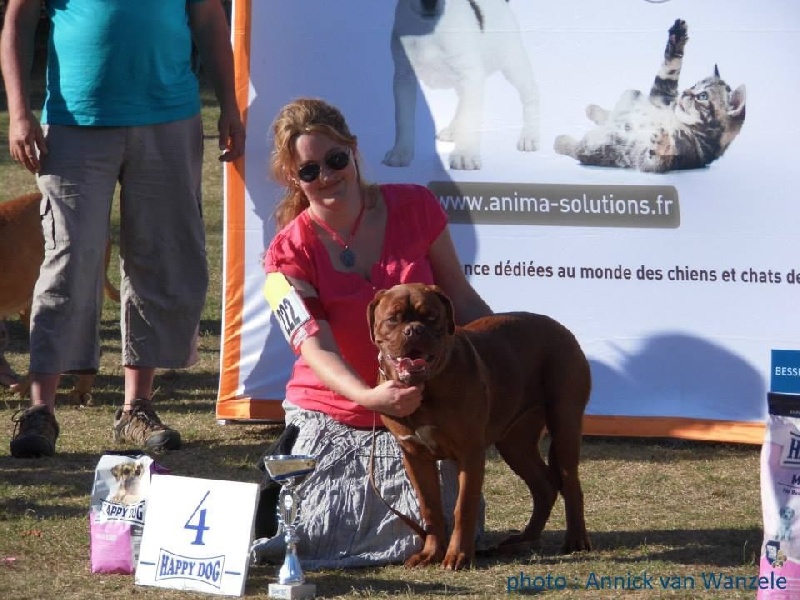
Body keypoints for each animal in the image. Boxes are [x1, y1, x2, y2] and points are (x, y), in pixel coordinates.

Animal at [368, 284, 592, 568]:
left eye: (431, 317)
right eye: (393, 319)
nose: (414, 330)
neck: (426, 388)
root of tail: (562, 328)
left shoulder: (470, 453)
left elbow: (463, 506)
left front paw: (458, 556)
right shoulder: (415, 455)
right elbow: (429, 507)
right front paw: (430, 553)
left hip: (565, 422)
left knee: (570, 482)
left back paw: (576, 540)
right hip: (515, 444)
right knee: (544, 486)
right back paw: (524, 540)